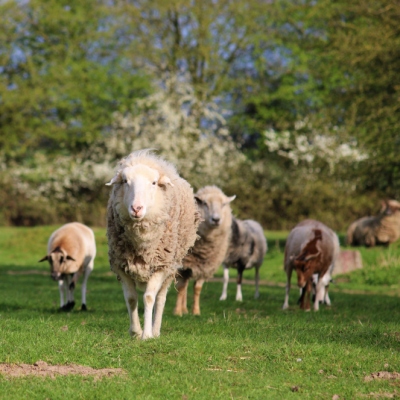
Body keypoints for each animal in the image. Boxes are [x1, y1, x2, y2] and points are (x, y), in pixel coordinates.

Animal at [105, 150, 200, 340]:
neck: (141, 242)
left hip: (171, 267)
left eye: (154, 183)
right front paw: (135, 332)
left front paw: (147, 334)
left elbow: (149, 297)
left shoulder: (161, 265)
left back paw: (156, 331)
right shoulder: (121, 265)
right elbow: (131, 298)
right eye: (125, 181)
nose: (136, 208)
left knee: (161, 298)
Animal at [173, 186, 234, 318]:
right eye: (205, 203)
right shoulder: (182, 267)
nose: (216, 219)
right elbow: (181, 288)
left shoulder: (204, 267)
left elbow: (197, 289)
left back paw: (185, 309)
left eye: (223, 204)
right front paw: (177, 312)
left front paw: (196, 312)